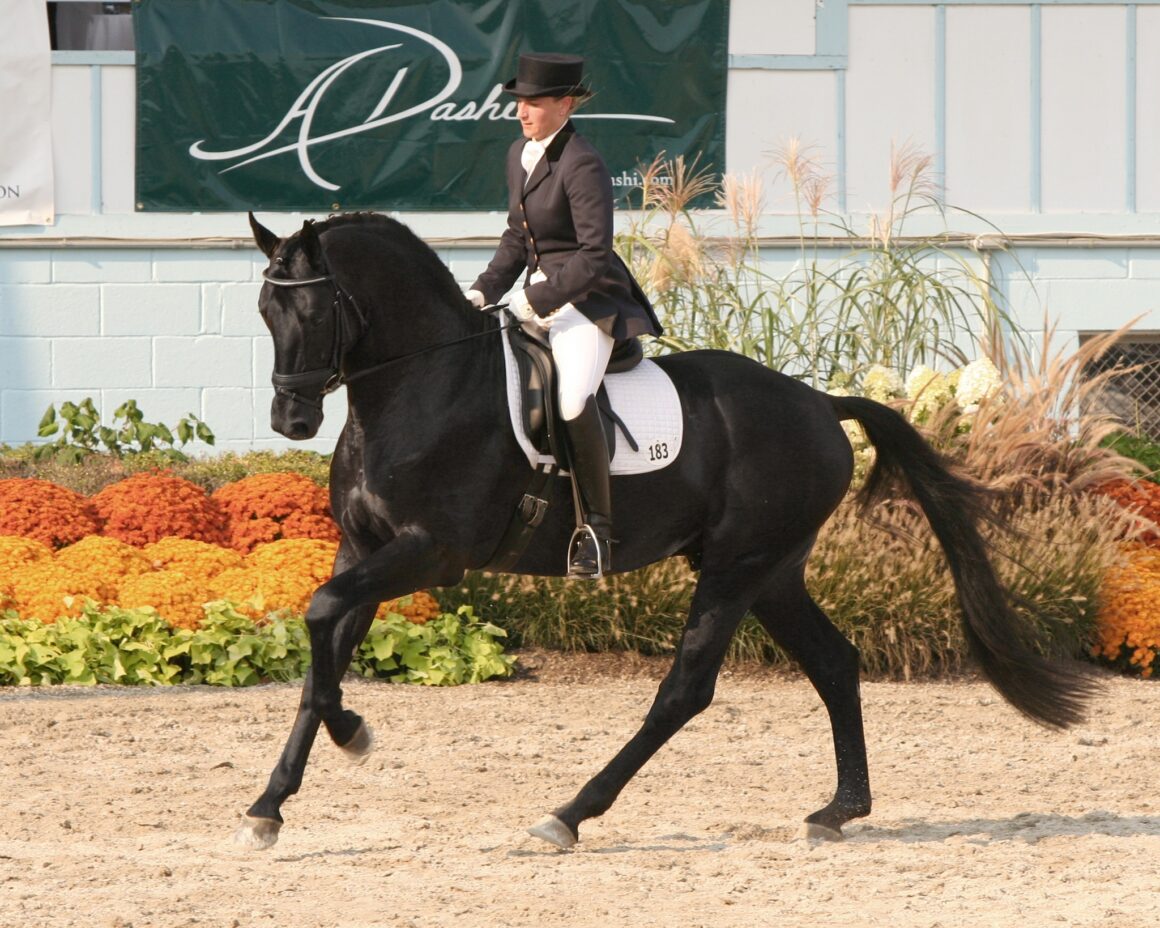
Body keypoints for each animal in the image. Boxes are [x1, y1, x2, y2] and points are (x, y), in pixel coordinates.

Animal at [237, 209, 1095, 849]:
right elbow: (321, 653)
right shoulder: (367, 550)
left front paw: (353, 732)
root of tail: (820, 402)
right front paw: (269, 805)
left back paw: (569, 814)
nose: (291, 420)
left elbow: (319, 615)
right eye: (264, 311)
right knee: (834, 663)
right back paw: (838, 810)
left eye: (312, 308)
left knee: (685, 689)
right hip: (769, 572)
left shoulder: (432, 554)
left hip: (736, 568)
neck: (423, 386)